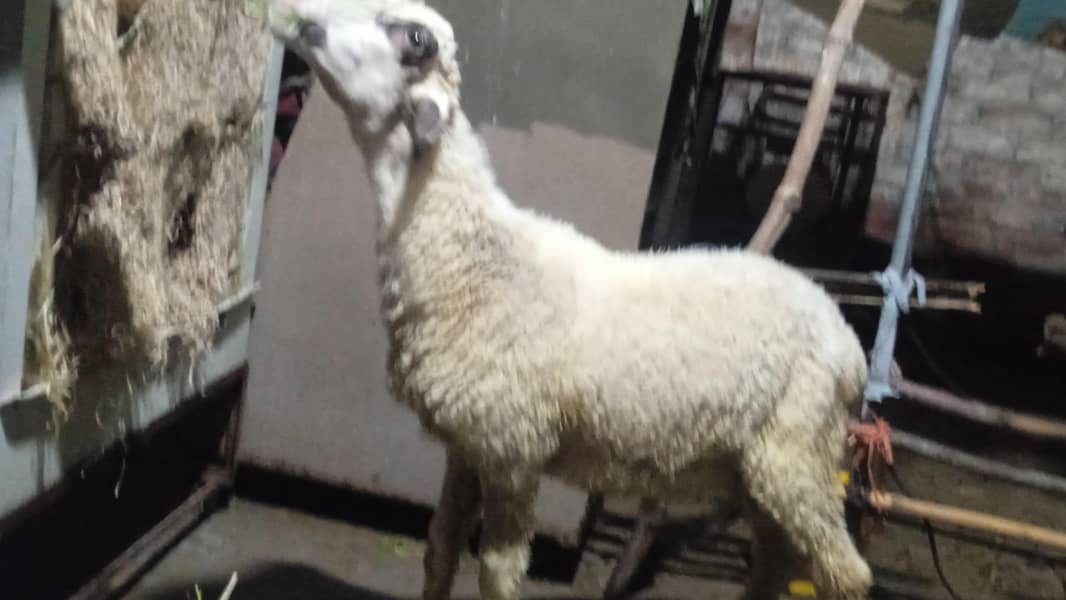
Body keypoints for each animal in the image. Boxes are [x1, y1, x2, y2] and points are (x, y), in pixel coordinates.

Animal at [268, 2, 874, 599]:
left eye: (414, 38)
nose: (291, 13)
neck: (471, 261)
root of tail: (846, 339)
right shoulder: (468, 442)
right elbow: (440, 550)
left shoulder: (514, 448)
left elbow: (497, 570)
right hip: (758, 469)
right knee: (774, 558)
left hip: (797, 453)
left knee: (845, 572)